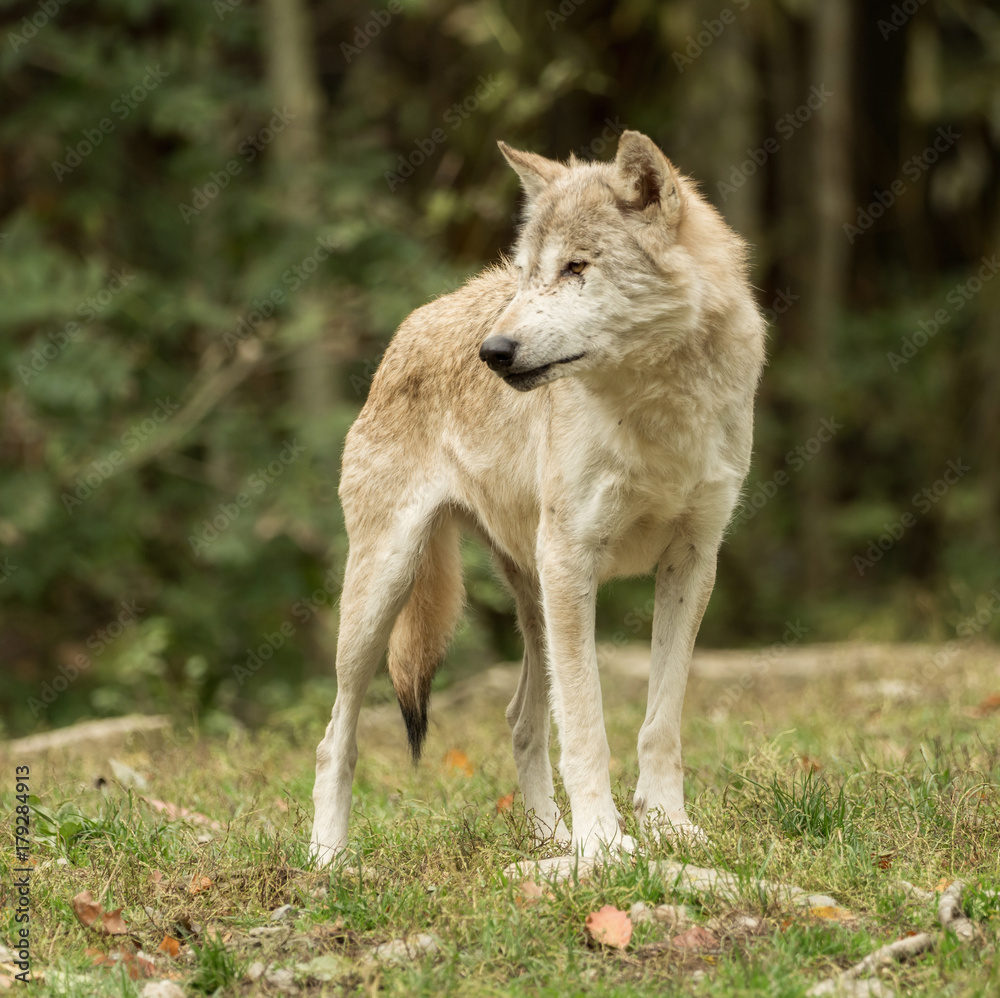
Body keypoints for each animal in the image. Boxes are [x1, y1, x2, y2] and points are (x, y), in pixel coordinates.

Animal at [310, 130, 765, 864]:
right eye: (529, 273)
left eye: (577, 268)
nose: (493, 351)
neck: (656, 411)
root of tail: (411, 325)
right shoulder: (573, 560)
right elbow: (586, 726)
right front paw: (604, 845)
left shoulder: (693, 562)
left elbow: (658, 723)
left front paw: (667, 827)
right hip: (386, 591)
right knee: (336, 737)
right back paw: (329, 859)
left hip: (534, 601)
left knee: (520, 720)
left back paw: (549, 838)